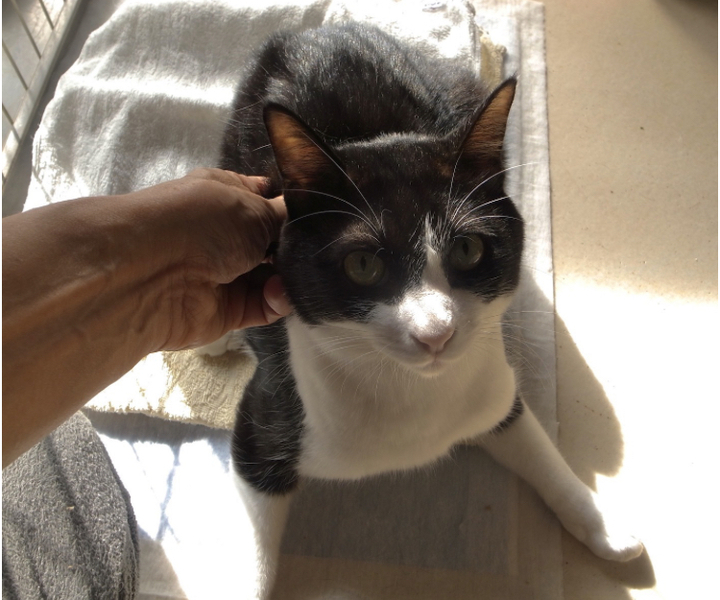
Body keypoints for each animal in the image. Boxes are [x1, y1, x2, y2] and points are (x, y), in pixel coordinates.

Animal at [216, 23, 642, 598]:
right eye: (363, 263)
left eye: (467, 250)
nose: (435, 332)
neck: (410, 390)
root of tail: (320, 29)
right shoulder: (264, 425)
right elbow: (255, 557)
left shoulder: (492, 392)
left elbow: (534, 442)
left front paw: (599, 522)